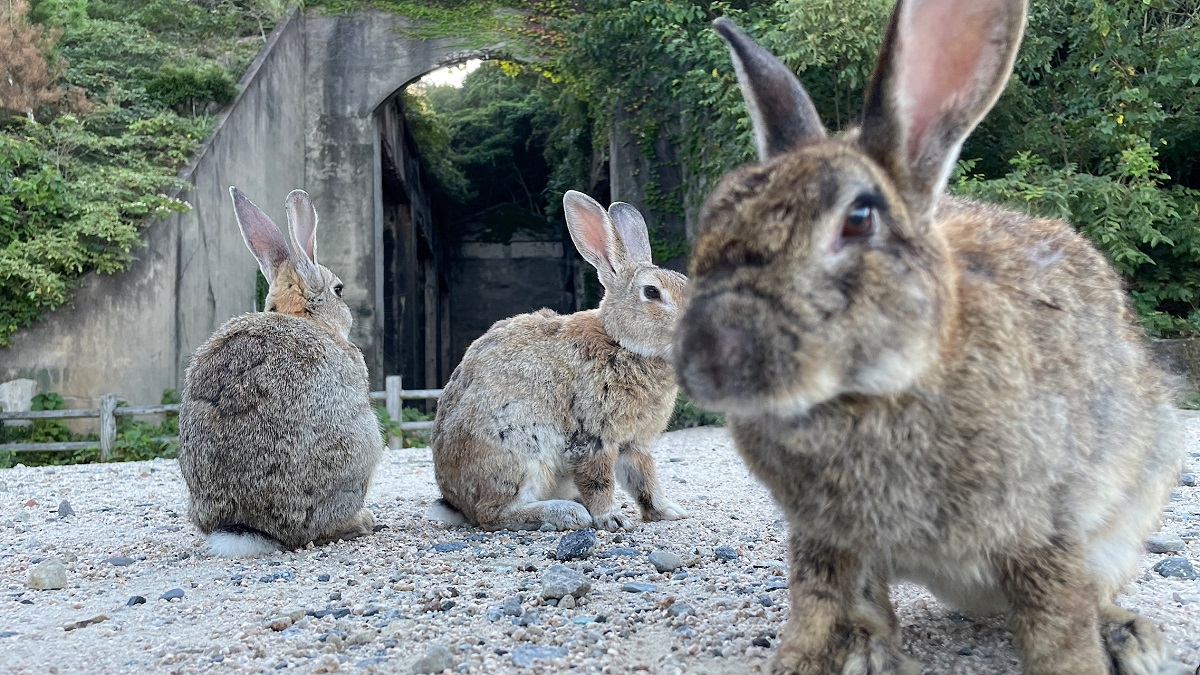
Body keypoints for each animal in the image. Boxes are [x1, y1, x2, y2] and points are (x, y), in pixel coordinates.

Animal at [177, 186, 381, 554]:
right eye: (339, 289)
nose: (350, 313)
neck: (302, 315)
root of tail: (251, 527)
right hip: (364, 442)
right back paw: (362, 521)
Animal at [432, 189, 691, 530]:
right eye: (651, 292)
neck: (621, 343)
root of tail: (456, 502)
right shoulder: (593, 438)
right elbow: (599, 481)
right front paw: (611, 519)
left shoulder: (635, 444)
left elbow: (644, 479)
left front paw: (668, 512)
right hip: (519, 451)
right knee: (493, 514)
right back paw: (565, 512)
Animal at [676, 1, 1190, 672]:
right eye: (713, 218)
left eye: (858, 219)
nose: (704, 360)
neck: (875, 392)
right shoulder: (823, 536)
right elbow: (816, 601)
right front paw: (802, 660)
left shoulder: (1045, 525)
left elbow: (1059, 623)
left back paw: (1131, 637)